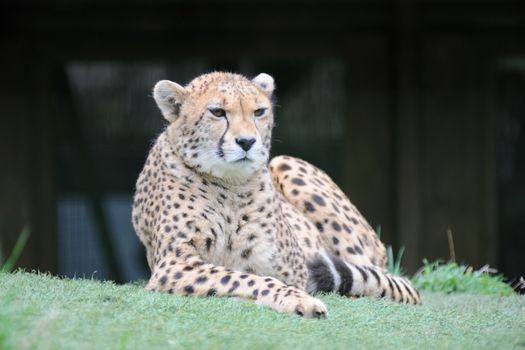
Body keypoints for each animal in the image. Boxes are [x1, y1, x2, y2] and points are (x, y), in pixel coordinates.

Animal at [132, 70, 422, 318]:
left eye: (259, 111)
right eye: (217, 112)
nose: (247, 142)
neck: (230, 185)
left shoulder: (297, 271)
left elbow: (257, 277)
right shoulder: (174, 264)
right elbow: (243, 278)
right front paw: (296, 300)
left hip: (284, 163)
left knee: (387, 281)